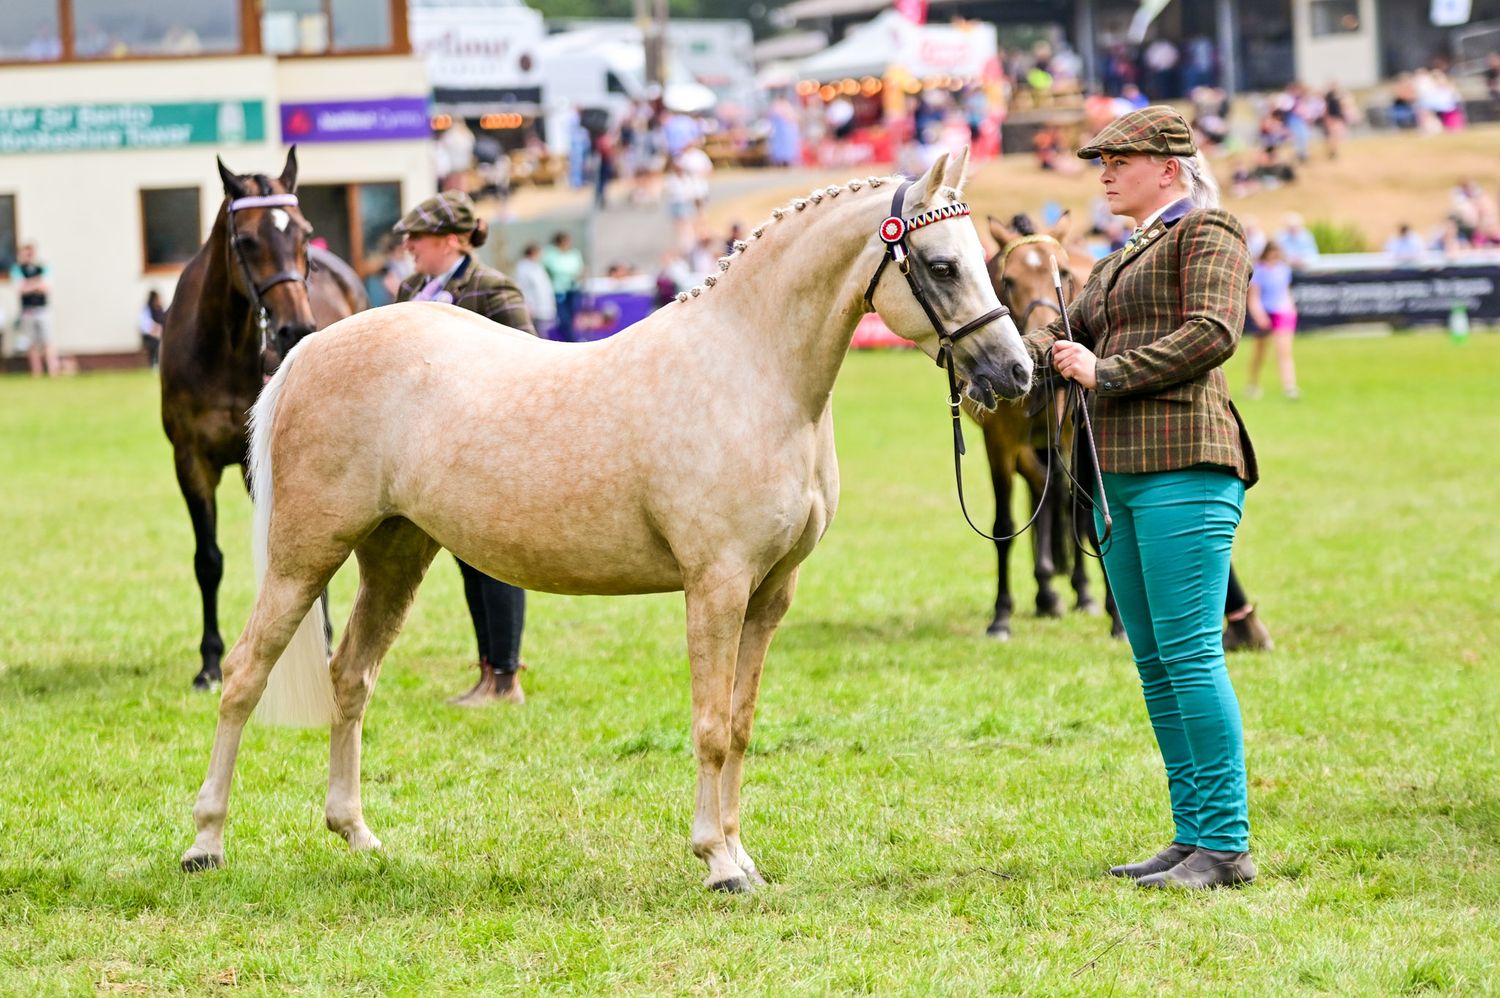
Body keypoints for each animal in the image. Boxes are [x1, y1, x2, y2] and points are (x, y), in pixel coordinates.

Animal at [160, 147, 367, 691]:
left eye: (303, 233)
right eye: (248, 240)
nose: (296, 327)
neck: (228, 346)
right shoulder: (190, 460)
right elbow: (208, 561)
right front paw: (209, 662)